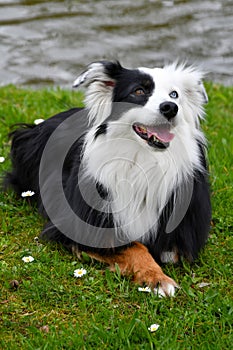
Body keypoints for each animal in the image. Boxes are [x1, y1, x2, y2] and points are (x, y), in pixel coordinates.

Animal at [4, 60, 212, 296]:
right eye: (138, 91)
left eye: (174, 94)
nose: (170, 107)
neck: (143, 160)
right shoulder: (81, 227)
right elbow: (135, 246)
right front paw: (157, 278)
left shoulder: (184, 233)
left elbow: (168, 251)